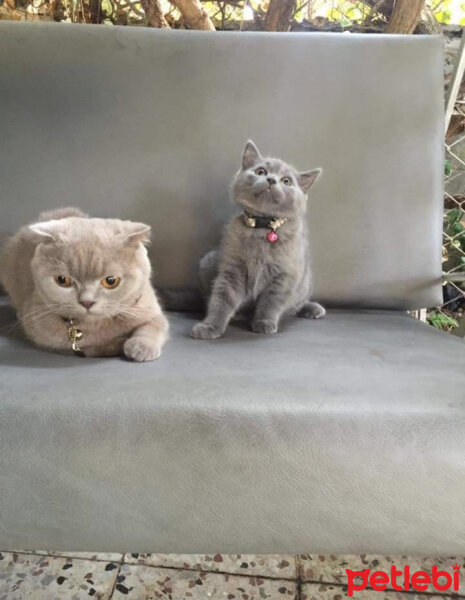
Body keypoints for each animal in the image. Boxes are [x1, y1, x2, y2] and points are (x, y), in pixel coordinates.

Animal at [188, 139, 322, 338]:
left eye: (286, 181)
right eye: (261, 171)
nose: (272, 179)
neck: (263, 227)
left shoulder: (285, 275)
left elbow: (271, 302)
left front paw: (264, 323)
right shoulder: (232, 269)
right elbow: (222, 299)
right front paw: (210, 326)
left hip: (305, 280)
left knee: (296, 303)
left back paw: (312, 308)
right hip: (207, 262)